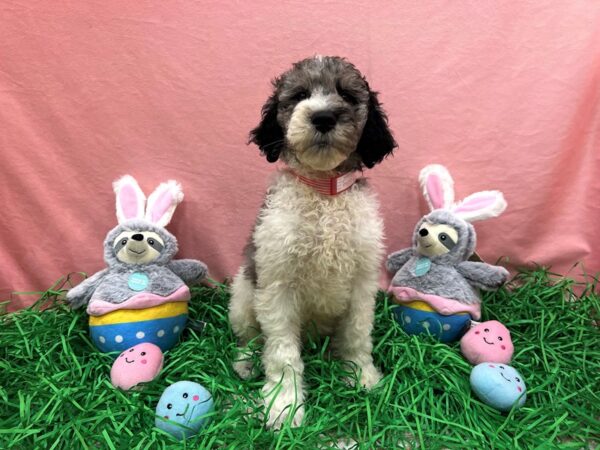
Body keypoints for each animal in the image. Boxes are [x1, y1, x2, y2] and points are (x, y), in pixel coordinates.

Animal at [230, 54, 398, 428]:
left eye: (347, 95)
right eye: (300, 95)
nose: (323, 117)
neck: (325, 192)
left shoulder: (362, 283)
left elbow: (357, 335)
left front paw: (361, 377)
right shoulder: (276, 284)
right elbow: (281, 353)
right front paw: (283, 405)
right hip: (243, 293)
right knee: (251, 335)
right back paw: (246, 360)